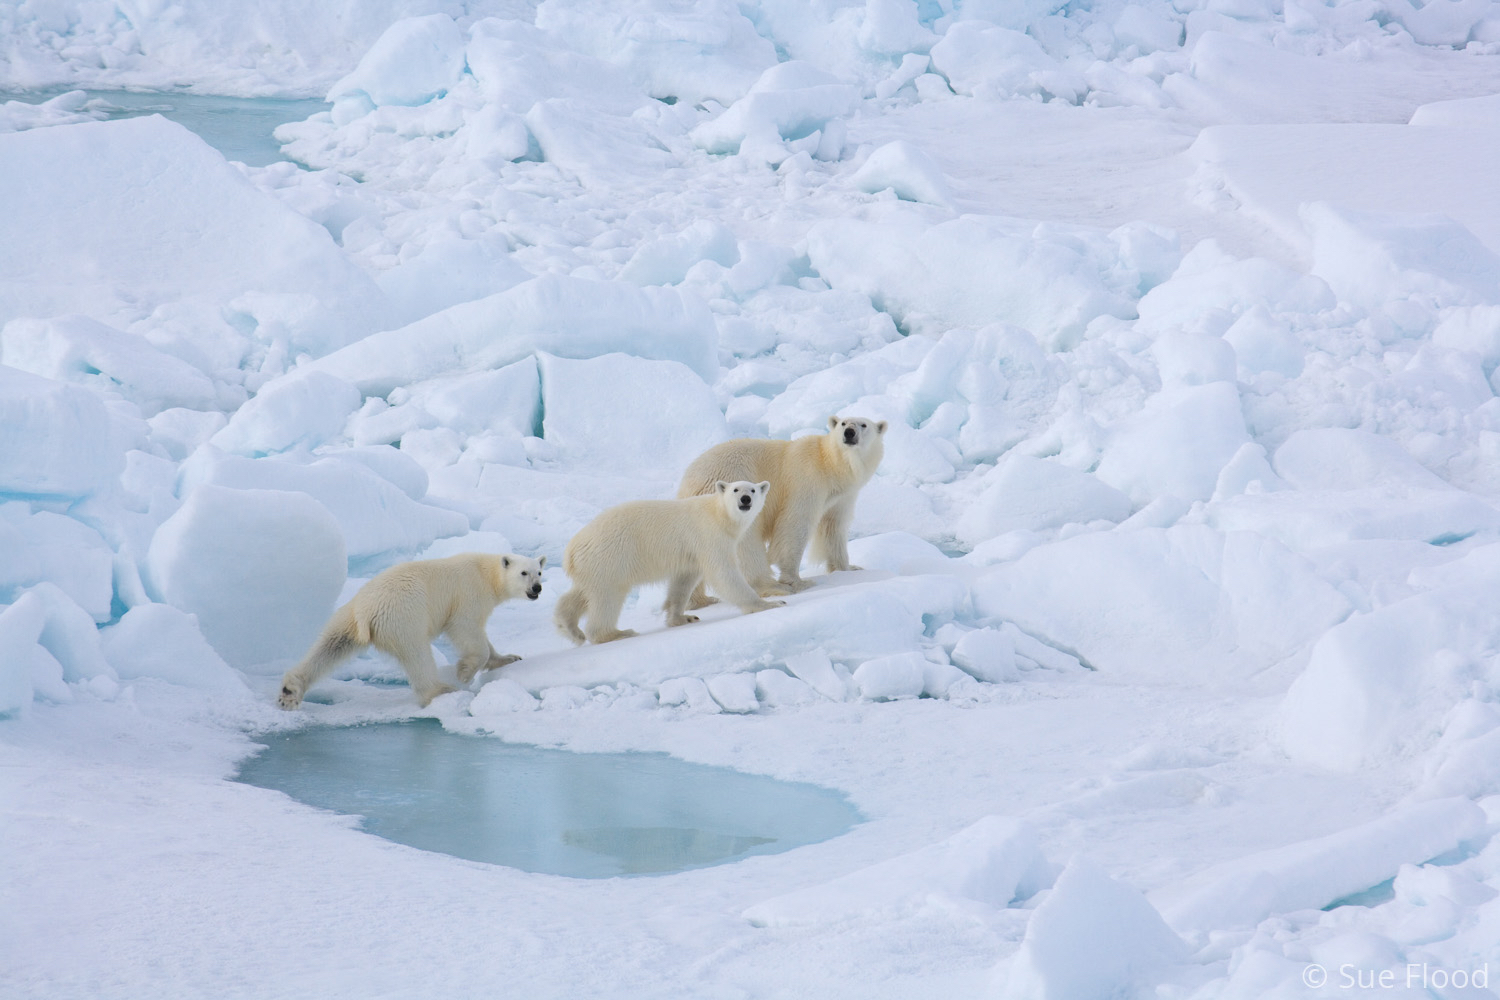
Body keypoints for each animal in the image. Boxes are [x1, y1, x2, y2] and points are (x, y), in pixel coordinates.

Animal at [276, 551, 546, 707]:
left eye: (540, 572)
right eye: (524, 573)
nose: (537, 588)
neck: (488, 573)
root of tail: (367, 611)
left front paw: (510, 657)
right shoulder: (469, 593)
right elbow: (466, 627)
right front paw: (464, 673)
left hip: (347, 617)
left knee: (330, 645)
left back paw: (290, 690)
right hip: (405, 616)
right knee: (417, 653)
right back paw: (441, 689)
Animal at [555, 479, 786, 644]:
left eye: (753, 490)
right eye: (736, 490)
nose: (745, 499)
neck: (719, 514)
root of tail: (570, 551)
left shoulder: (691, 554)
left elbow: (683, 582)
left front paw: (683, 618)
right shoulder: (709, 535)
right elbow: (724, 574)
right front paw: (770, 603)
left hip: (593, 566)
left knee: (582, 593)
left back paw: (570, 629)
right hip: (609, 558)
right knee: (607, 597)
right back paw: (616, 633)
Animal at [684, 413, 882, 602]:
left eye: (863, 424)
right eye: (843, 423)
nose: (849, 432)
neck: (829, 464)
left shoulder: (841, 496)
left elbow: (833, 527)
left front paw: (849, 569)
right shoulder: (806, 480)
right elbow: (794, 525)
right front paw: (797, 582)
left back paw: (702, 600)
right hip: (734, 491)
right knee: (746, 543)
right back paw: (773, 587)